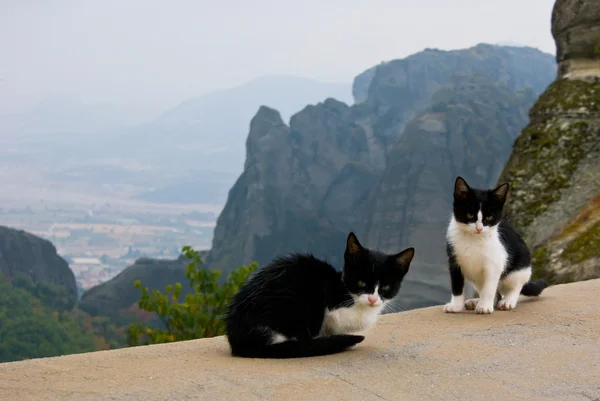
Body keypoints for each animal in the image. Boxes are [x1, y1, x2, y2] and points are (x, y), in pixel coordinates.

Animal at [442, 177, 548, 314]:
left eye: (489, 217)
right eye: (470, 215)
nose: (479, 228)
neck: (474, 239)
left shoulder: (495, 263)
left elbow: (489, 288)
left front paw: (484, 306)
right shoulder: (454, 260)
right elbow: (457, 285)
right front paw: (456, 306)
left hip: (520, 267)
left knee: (515, 285)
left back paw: (507, 301)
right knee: (493, 292)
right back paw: (475, 302)